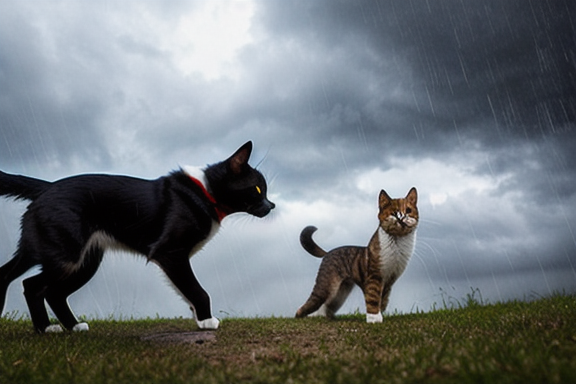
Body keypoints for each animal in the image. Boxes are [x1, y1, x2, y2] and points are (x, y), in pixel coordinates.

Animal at [0, 142, 274, 332]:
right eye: (257, 189)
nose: (271, 206)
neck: (204, 192)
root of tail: (46, 187)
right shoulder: (170, 252)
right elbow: (196, 289)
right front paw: (207, 320)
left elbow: (186, 290)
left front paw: (198, 318)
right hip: (65, 254)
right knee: (32, 285)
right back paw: (45, 328)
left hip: (73, 257)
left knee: (36, 285)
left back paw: (71, 326)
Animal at [296, 188, 418, 322]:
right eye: (394, 213)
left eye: (408, 210)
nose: (402, 218)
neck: (397, 243)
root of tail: (327, 253)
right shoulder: (374, 276)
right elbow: (373, 299)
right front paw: (374, 319)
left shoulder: (388, 281)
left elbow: (382, 301)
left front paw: (379, 316)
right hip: (325, 288)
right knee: (306, 306)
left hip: (340, 292)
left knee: (327, 306)